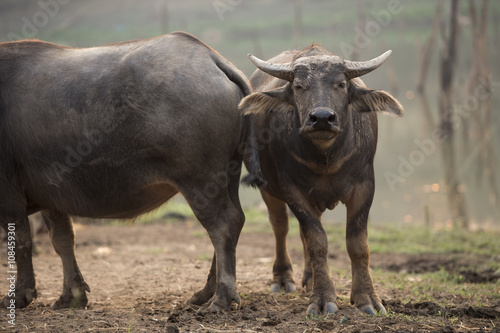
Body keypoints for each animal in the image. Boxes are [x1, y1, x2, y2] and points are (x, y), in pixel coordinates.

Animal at [1, 31, 254, 312]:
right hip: (228, 177)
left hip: (199, 181)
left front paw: (18, 295)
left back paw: (221, 298)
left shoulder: (9, 193)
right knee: (231, 223)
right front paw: (71, 296)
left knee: (223, 224)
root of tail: (212, 58)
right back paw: (204, 293)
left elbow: (20, 240)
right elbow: (63, 240)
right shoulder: (50, 195)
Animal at [240, 44, 404, 314]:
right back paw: (284, 278)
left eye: (341, 84)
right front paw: (323, 298)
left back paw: (309, 279)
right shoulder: (291, 189)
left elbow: (357, 243)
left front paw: (367, 299)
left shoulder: (365, 187)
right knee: (281, 226)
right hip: (268, 189)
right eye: (298, 86)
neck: (326, 158)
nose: (322, 118)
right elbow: (317, 242)